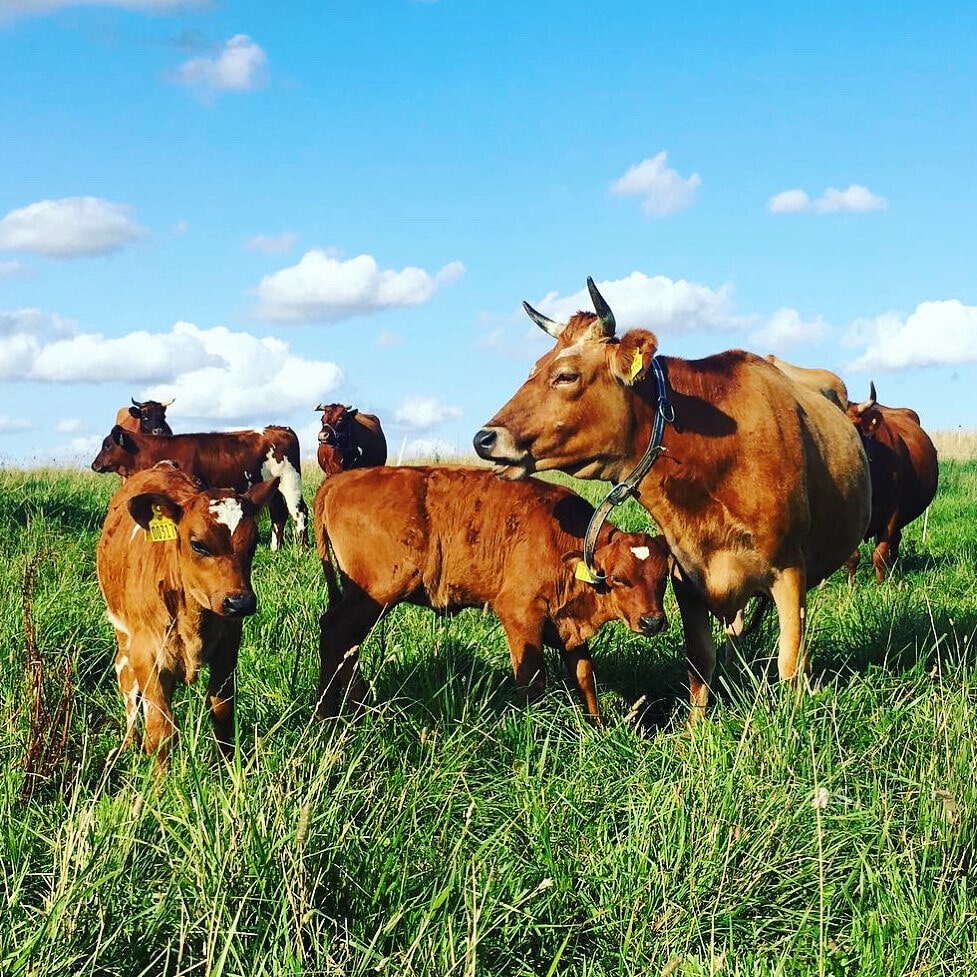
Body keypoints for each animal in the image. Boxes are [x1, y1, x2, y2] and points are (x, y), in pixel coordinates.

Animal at [90, 426, 308, 552]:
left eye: (107, 445)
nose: (94, 465)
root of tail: (279, 428)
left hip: (290, 480)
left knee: (299, 513)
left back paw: (302, 549)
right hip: (273, 489)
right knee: (279, 515)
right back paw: (275, 549)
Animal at [96, 462, 278, 768]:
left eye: (253, 543)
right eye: (198, 544)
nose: (239, 602)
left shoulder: (229, 645)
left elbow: (222, 711)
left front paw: (225, 767)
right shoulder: (146, 653)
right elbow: (160, 730)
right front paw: (161, 781)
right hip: (122, 633)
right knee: (127, 683)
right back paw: (129, 744)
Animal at [312, 466, 672, 724]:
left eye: (663, 577)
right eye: (618, 578)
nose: (652, 622)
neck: (563, 542)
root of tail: (340, 480)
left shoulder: (569, 625)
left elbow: (584, 676)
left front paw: (595, 729)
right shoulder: (520, 614)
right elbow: (532, 680)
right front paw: (534, 731)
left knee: (346, 644)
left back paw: (350, 710)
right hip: (375, 594)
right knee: (336, 632)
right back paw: (335, 714)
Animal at [472, 278, 868, 720]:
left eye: (565, 375)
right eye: (533, 369)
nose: (484, 438)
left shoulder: (789, 569)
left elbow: (790, 661)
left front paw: (790, 721)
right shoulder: (686, 575)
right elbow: (699, 660)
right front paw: (695, 727)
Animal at [840, 382, 936, 580]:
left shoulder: (892, 513)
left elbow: (879, 554)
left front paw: (882, 583)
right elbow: (853, 556)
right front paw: (850, 584)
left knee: (895, 541)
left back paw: (894, 568)